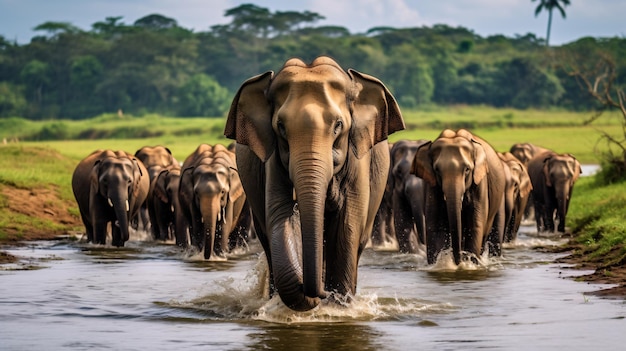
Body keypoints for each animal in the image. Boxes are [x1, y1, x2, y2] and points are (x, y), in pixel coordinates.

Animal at [222, 56, 402, 312]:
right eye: (281, 127)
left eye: (338, 125)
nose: (322, 293)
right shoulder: (272, 156)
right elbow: (280, 213)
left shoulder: (359, 158)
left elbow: (348, 224)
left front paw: (338, 308)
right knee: (267, 238)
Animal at [410, 129, 508, 264]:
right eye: (437, 170)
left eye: (467, 169)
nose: (458, 261)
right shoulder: (432, 185)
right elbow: (436, 226)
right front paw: (443, 264)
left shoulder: (479, 183)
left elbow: (475, 225)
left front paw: (468, 264)